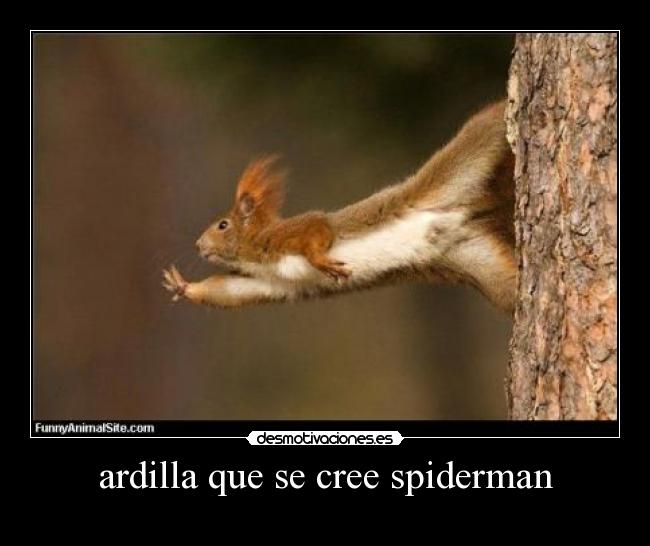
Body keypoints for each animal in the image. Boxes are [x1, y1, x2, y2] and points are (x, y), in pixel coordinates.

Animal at [162, 100, 516, 313]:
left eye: (222, 225)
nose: (198, 246)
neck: (254, 251)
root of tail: (465, 213)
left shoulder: (292, 231)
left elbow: (318, 230)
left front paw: (321, 261)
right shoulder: (270, 282)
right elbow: (231, 290)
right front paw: (184, 286)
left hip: (471, 148)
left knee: (491, 122)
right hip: (477, 264)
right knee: (510, 291)